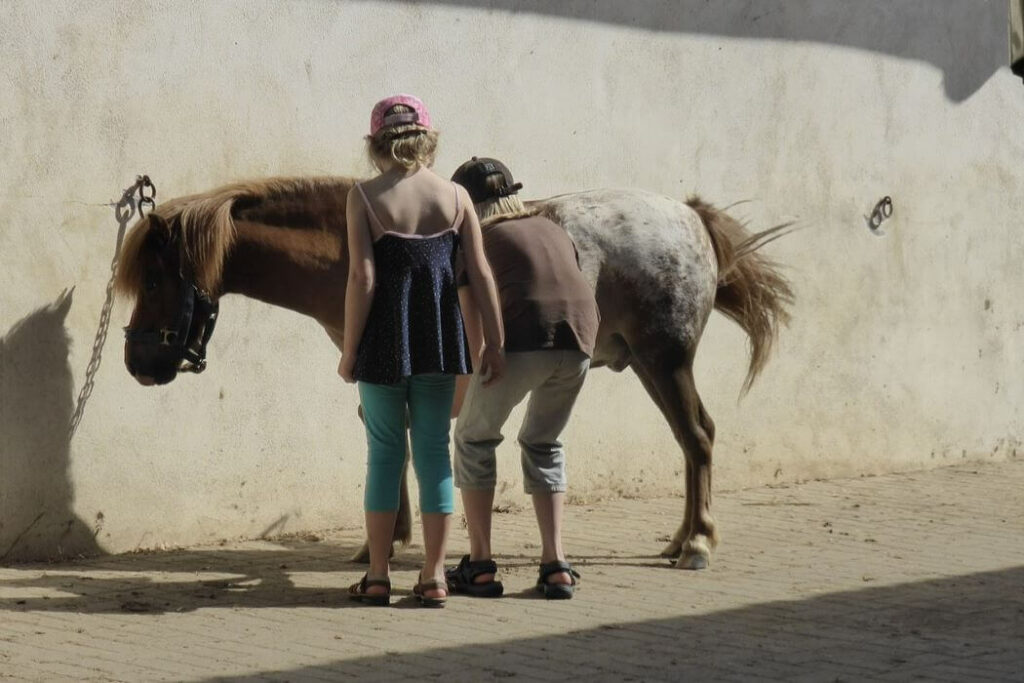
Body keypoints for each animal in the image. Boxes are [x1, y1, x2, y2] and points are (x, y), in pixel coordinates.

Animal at [114, 174, 790, 569]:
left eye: (155, 278)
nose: (137, 362)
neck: (360, 251)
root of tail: (688, 214)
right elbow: (397, 446)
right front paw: (390, 540)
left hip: (665, 359)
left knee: (697, 437)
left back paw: (696, 542)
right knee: (691, 440)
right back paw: (680, 539)